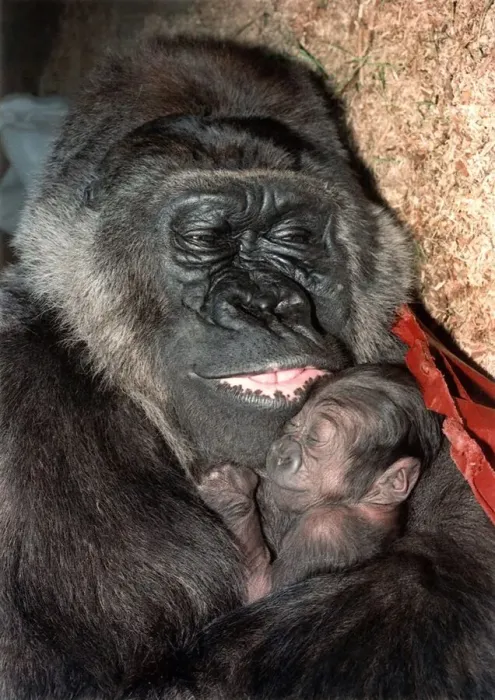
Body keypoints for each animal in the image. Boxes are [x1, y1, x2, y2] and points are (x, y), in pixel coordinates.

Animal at [199, 364, 439, 601]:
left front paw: (229, 492)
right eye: (292, 426)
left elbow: (261, 589)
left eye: (315, 438)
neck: (364, 505)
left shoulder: (324, 530)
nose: (282, 451)